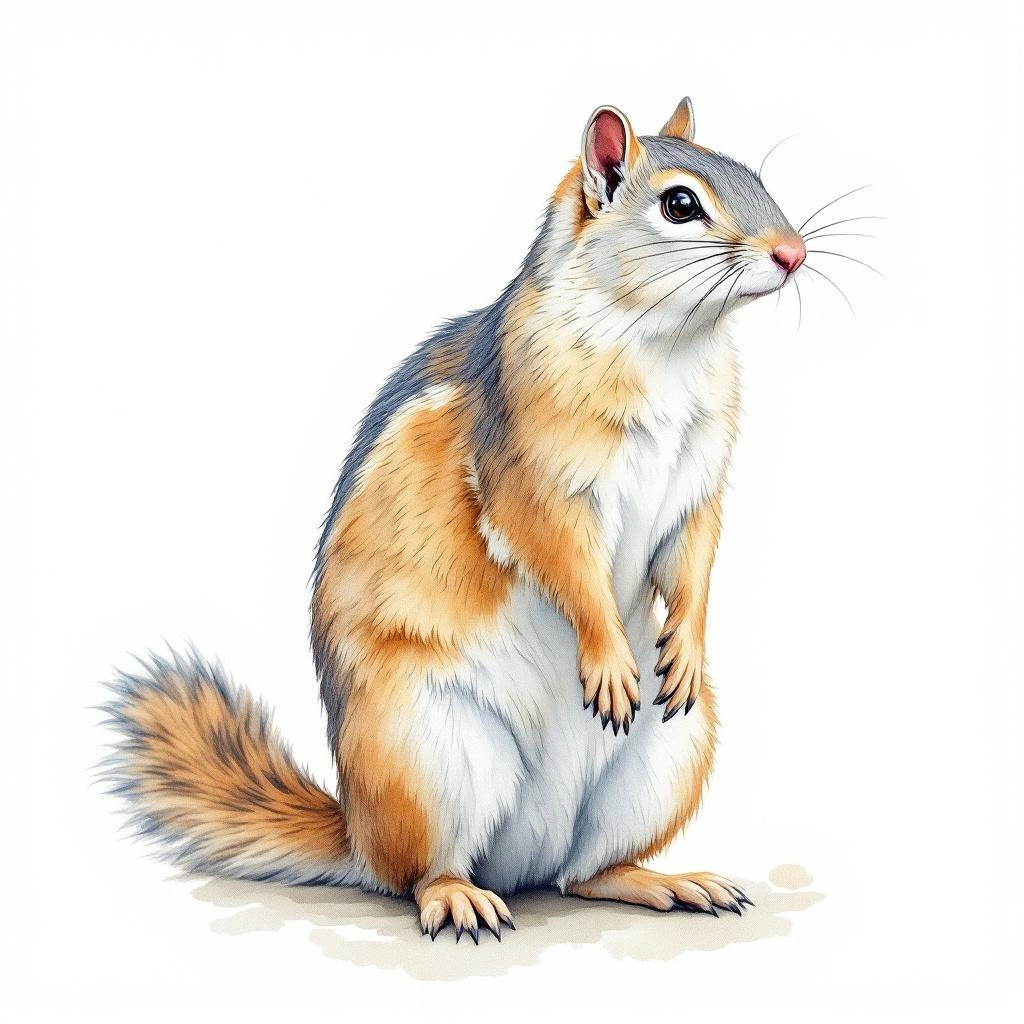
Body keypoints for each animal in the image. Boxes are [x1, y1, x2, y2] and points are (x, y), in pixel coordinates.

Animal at [101, 97, 808, 942]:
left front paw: (687, 647)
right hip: (427, 753)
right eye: (679, 205)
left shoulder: (698, 483)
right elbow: (562, 557)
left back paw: (664, 881)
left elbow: (692, 555)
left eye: (755, 176)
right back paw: (457, 898)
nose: (795, 253)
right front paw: (608, 657)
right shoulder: (531, 475)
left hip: (668, 758)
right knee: (422, 870)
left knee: (585, 873)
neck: (670, 345)